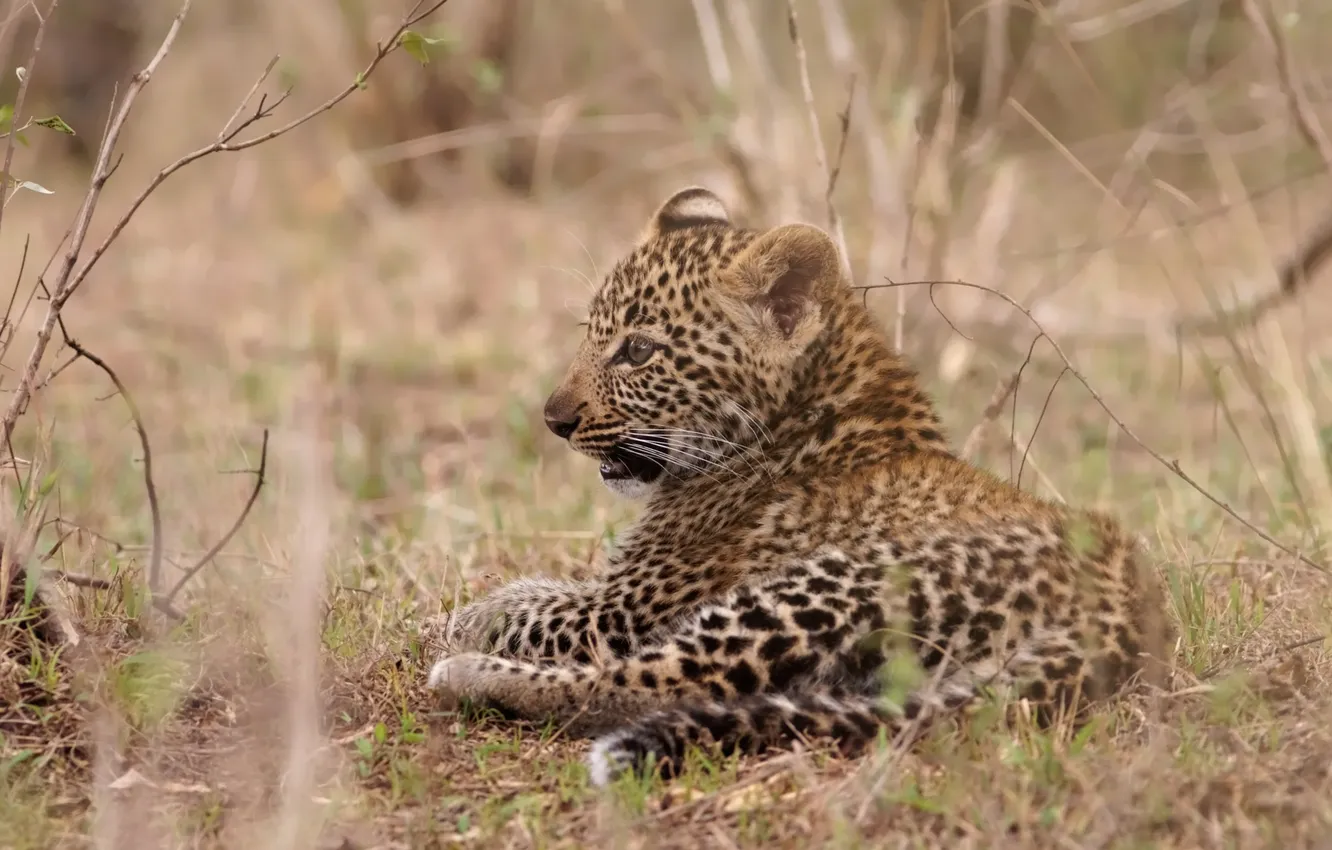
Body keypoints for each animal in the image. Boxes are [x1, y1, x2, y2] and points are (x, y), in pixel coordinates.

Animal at [426, 186, 1174, 787]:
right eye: (592, 334)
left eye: (639, 351)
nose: (555, 421)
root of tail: (1126, 609)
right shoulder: (617, 595)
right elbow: (536, 589)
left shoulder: (621, 612)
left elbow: (527, 610)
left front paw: (458, 621)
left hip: (831, 587)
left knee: (652, 683)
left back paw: (464, 674)